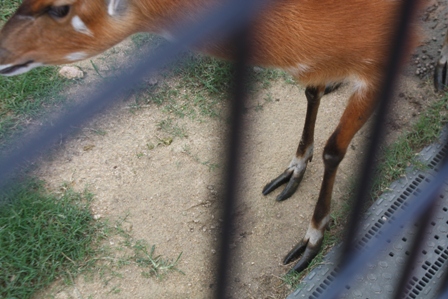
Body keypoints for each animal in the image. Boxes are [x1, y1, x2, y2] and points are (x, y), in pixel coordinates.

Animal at [0, 0, 424, 274]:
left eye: (59, 8)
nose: (3, 52)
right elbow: (311, 94)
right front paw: (290, 173)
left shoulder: (384, 61)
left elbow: (334, 149)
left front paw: (309, 243)